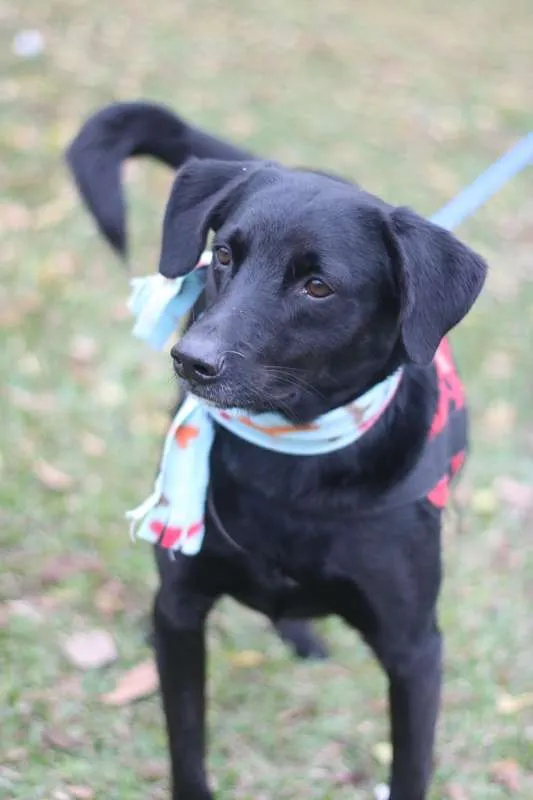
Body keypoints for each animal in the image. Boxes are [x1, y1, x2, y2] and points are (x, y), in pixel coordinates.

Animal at [66, 103, 486, 796]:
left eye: (317, 287)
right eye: (222, 256)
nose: (192, 360)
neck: (291, 458)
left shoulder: (415, 650)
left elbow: (410, 769)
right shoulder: (181, 612)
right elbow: (187, 742)